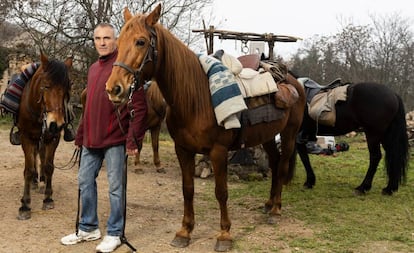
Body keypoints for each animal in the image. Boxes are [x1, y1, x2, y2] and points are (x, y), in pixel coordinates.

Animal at [17, 52, 73, 219]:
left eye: (67, 89)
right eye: (46, 85)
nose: (56, 124)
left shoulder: (52, 138)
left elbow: (48, 166)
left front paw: (48, 198)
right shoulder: (26, 138)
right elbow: (28, 170)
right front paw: (25, 205)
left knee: (41, 156)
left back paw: (41, 182)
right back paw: (35, 182)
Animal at [103, 3, 304, 251]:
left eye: (140, 41)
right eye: (119, 41)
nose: (114, 89)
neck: (195, 98)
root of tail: (292, 79)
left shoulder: (218, 151)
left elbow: (221, 192)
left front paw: (224, 235)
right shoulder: (183, 150)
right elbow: (187, 189)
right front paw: (184, 231)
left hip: (289, 133)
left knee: (283, 165)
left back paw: (276, 209)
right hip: (266, 136)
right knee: (275, 164)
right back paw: (268, 203)